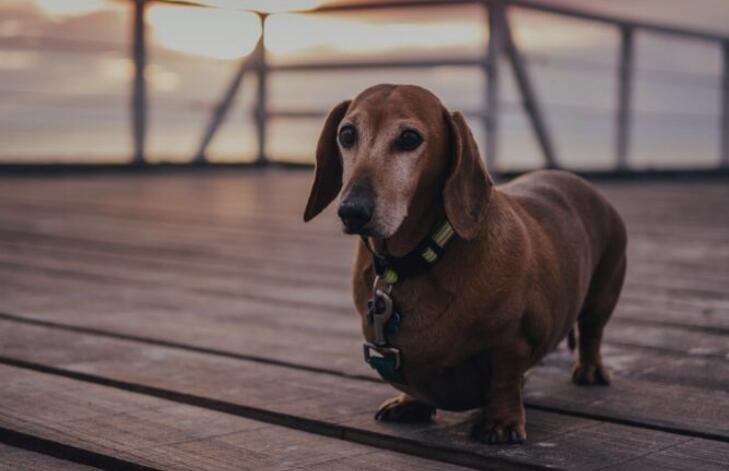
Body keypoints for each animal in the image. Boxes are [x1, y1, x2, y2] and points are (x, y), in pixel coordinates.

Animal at [302, 85, 624, 446]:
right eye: (346, 134)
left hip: (604, 291)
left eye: (409, 138)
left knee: (592, 331)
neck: (414, 261)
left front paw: (502, 423)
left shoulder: (514, 340)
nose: (352, 211)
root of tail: (582, 183)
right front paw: (410, 402)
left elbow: (505, 380)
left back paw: (589, 369)